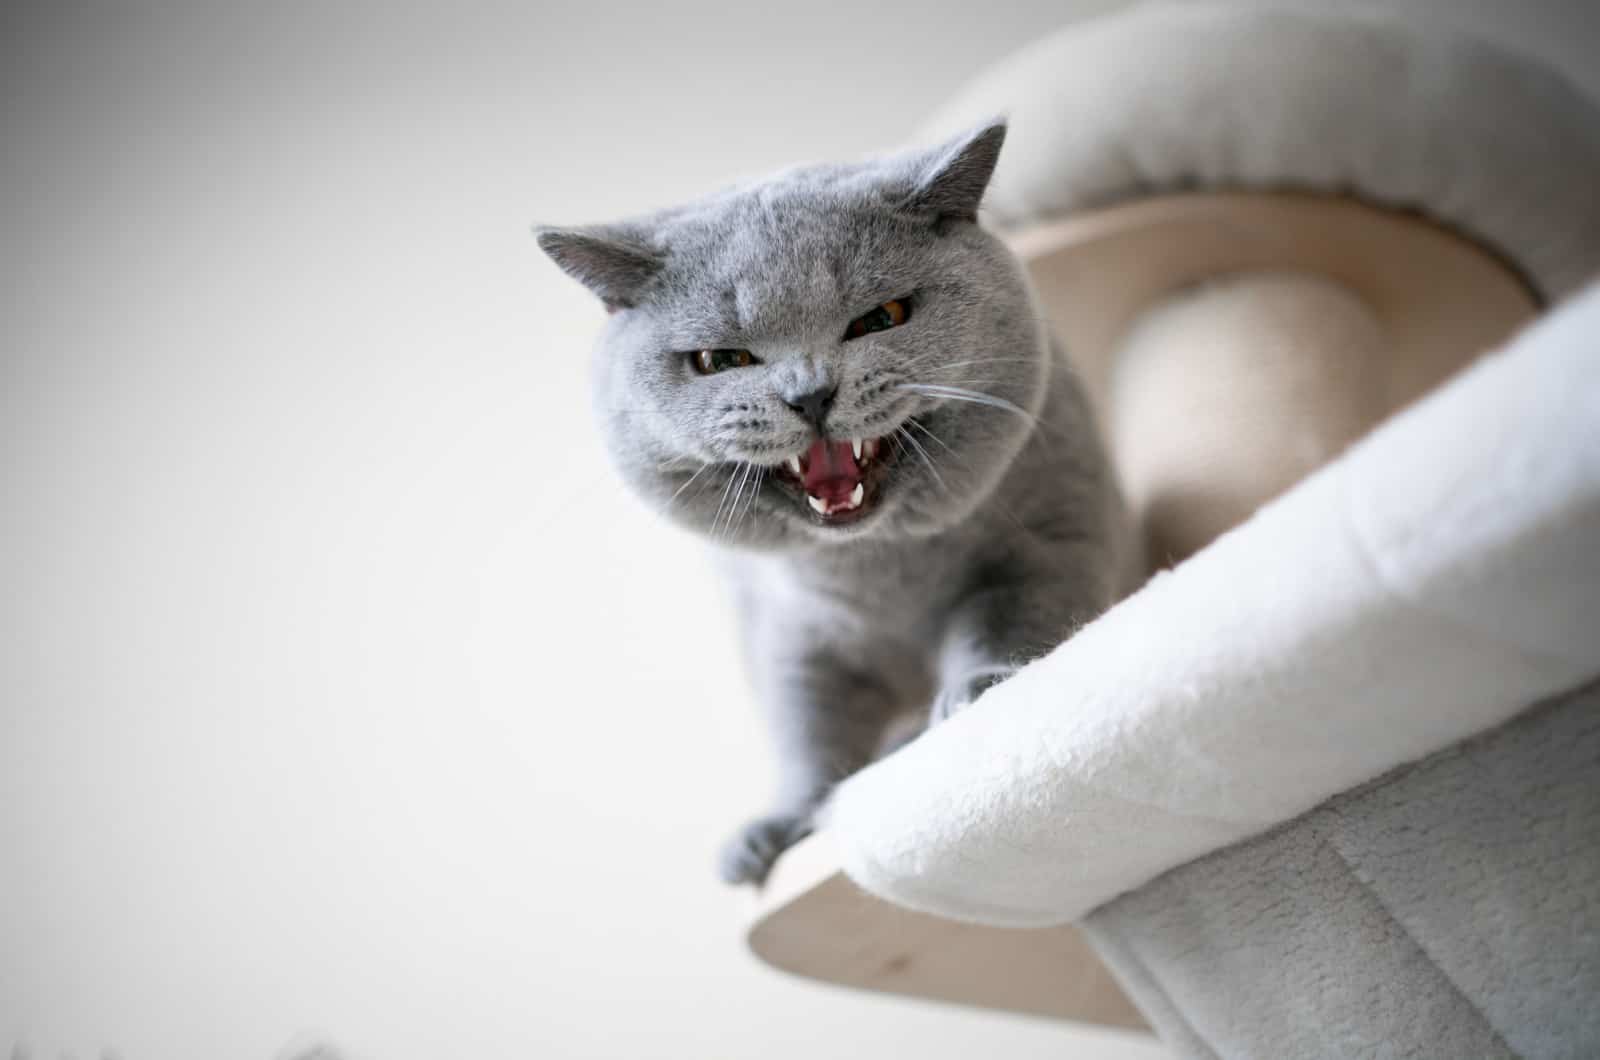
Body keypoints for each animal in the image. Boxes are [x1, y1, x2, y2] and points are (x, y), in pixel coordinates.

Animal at [534, 120, 1126, 890]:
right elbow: (811, 729)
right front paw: (778, 830)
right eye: (721, 361)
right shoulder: (789, 635)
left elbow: (1011, 616)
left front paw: (977, 690)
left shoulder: (1051, 532)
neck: (874, 571)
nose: (810, 394)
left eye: (882, 317)